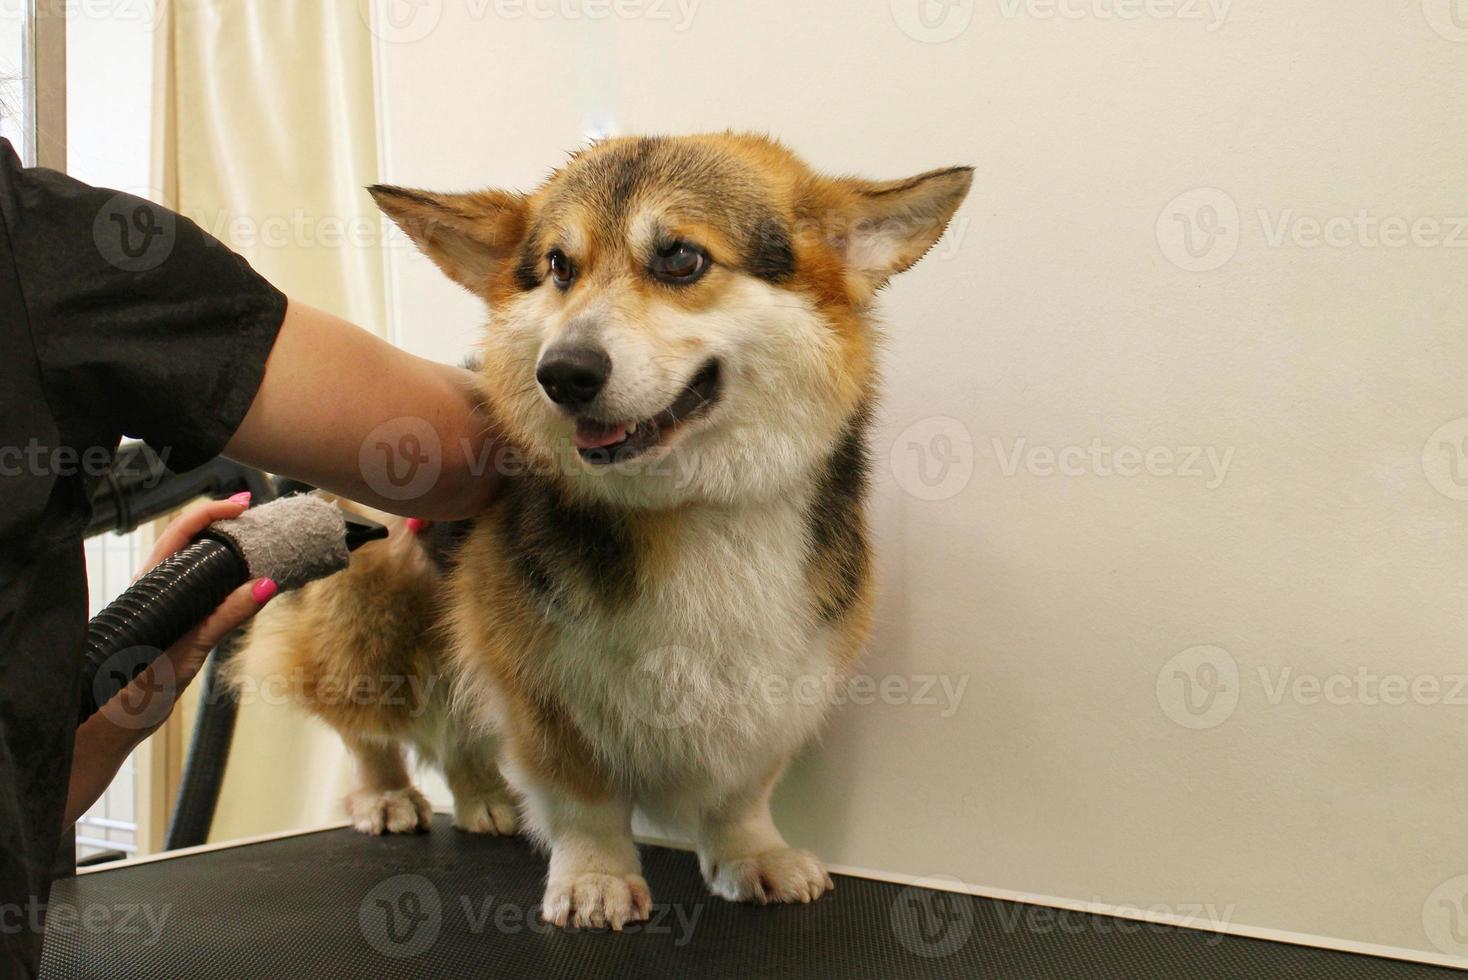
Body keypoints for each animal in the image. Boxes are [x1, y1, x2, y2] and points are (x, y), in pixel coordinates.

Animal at [231, 134, 974, 933]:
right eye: (561, 266)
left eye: (680, 257)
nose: (562, 373)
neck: (695, 505)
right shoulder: (538, 680)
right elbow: (581, 795)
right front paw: (596, 879)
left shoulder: (778, 676)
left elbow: (742, 791)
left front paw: (754, 855)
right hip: (373, 625)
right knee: (365, 723)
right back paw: (386, 795)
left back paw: (482, 797)